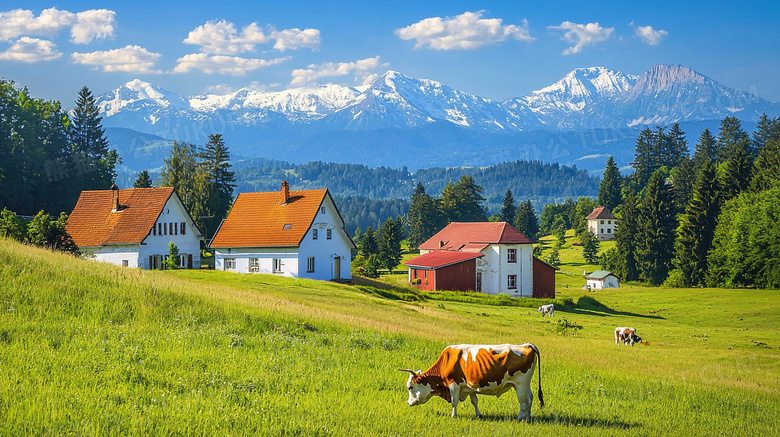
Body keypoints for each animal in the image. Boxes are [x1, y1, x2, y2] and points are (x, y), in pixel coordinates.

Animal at [402, 342, 544, 420]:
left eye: (410, 387)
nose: (408, 402)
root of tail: (526, 345)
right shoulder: (470, 386)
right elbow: (474, 401)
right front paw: (479, 415)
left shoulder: (453, 384)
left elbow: (454, 402)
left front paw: (453, 416)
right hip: (525, 385)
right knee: (530, 398)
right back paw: (528, 418)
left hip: (521, 384)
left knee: (524, 402)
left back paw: (520, 418)